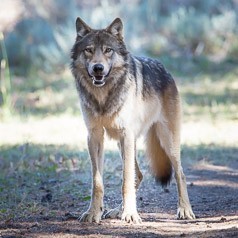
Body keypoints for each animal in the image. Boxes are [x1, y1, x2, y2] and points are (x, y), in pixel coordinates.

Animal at [69, 17, 195, 223]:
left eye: (108, 50)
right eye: (88, 50)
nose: (98, 68)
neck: (104, 97)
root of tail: (164, 69)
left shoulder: (126, 134)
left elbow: (126, 180)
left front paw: (130, 214)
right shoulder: (94, 136)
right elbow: (98, 182)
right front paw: (94, 212)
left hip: (167, 141)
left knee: (180, 174)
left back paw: (185, 210)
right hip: (124, 144)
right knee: (139, 175)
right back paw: (117, 210)